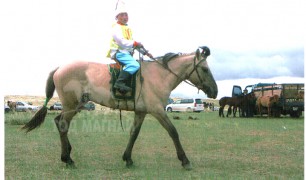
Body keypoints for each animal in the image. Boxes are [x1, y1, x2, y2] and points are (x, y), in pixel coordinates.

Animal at [21, 46, 218, 170]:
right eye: (205, 69)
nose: (215, 91)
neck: (159, 76)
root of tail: (60, 68)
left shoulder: (141, 112)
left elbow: (134, 134)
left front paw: (128, 158)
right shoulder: (158, 111)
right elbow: (173, 132)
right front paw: (185, 160)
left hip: (74, 106)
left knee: (59, 122)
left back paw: (68, 154)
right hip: (71, 105)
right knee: (62, 125)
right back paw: (67, 159)